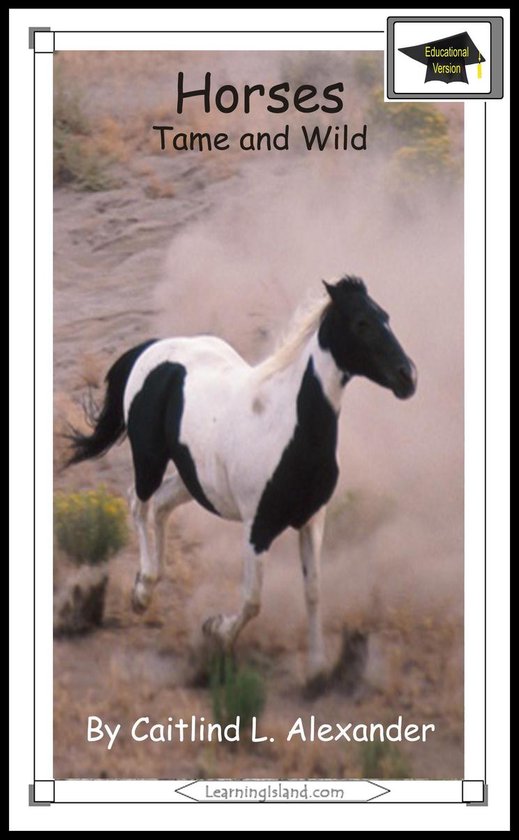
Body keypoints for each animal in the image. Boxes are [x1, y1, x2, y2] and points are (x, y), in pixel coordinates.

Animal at [67, 275, 417, 683]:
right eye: (361, 322)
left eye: (385, 316)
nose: (408, 376)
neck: (290, 426)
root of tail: (150, 349)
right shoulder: (257, 526)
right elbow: (252, 601)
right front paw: (215, 631)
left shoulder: (313, 519)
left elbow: (313, 592)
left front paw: (317, 667)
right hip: (150, 460)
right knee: (138, 505)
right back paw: (142, 592)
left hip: (193, 478)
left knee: (161, 507)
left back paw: (150, 580)